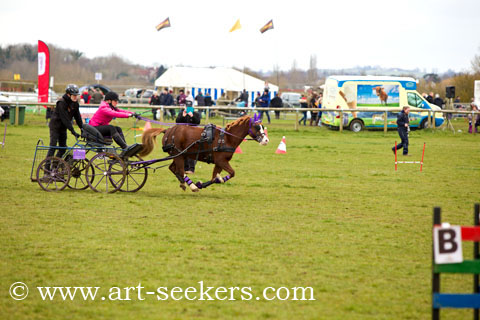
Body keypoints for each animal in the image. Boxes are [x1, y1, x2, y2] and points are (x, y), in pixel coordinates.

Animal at [138, 115, 270, 192]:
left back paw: (184, 183)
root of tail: (168, 130)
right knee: (179, 170)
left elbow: (214, 178)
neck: (226, 138)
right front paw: (200, 184)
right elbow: (232, 173)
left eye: (262, 126)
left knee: (173, 168)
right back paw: (192, 186)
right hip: (179, 155)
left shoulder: (219, 163)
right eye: (256, 127)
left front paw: (204, 183)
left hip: (179, 155)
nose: (266, 140)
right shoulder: (221, 161)